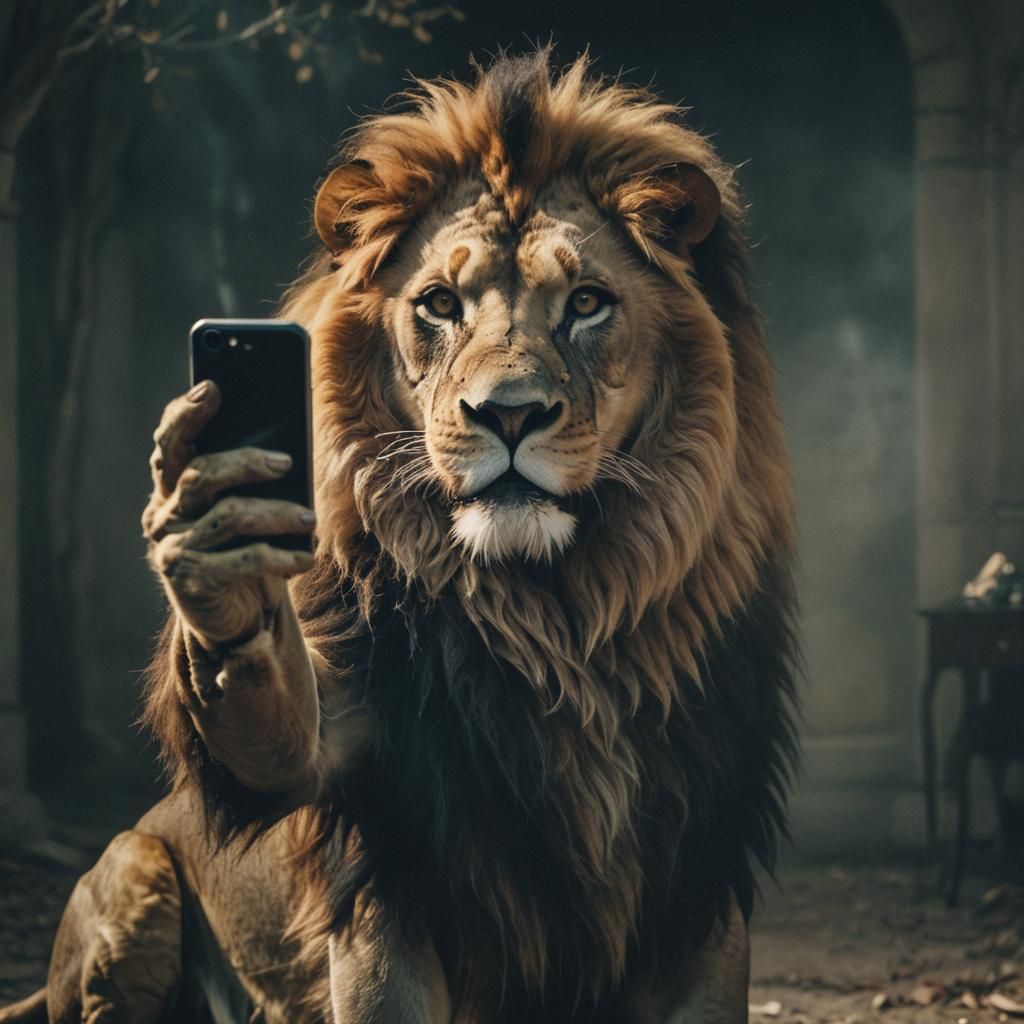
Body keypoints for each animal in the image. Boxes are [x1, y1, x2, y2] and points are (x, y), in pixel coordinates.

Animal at [0, 51, 797, 1024]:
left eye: (586, 303)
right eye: (441, 304)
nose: (509, 414)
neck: (555, 622)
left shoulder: (700, 885)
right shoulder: (380, 864)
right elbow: (275, 749)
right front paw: (222, 570)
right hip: (132, 875)